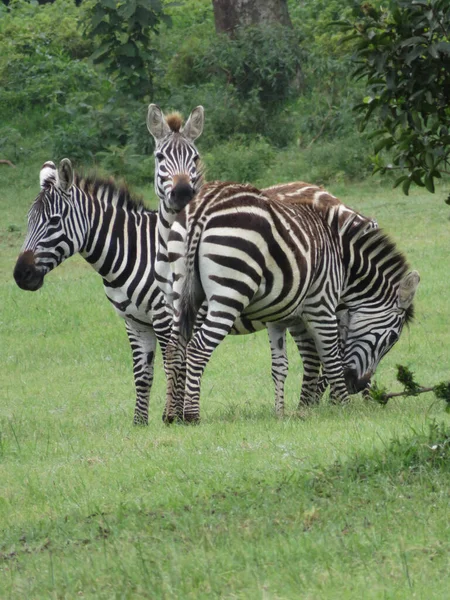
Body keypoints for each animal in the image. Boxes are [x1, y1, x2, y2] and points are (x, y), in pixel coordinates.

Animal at [12, 157, 171, 424]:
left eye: (54, 221)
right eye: (28, 220)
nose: (20, 275)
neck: (136, 250)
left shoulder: (165, 316)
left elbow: (175, 367)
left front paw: (176, 417)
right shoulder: (135, 321)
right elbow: (142, 375)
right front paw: (140, 423)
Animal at [163, 182, 420, 422]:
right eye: (392, 338)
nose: (356, 385)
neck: (342, 258)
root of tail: (204, 206)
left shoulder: (284, 314)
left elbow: (285, 364)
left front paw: (290, 411)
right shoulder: (322, 306)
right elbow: (331, 358)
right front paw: (342, 406)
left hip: (180, 290)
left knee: (175, 347)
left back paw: (172, 416)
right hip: (230, 292)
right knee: (198, 348)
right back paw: (191, 415)